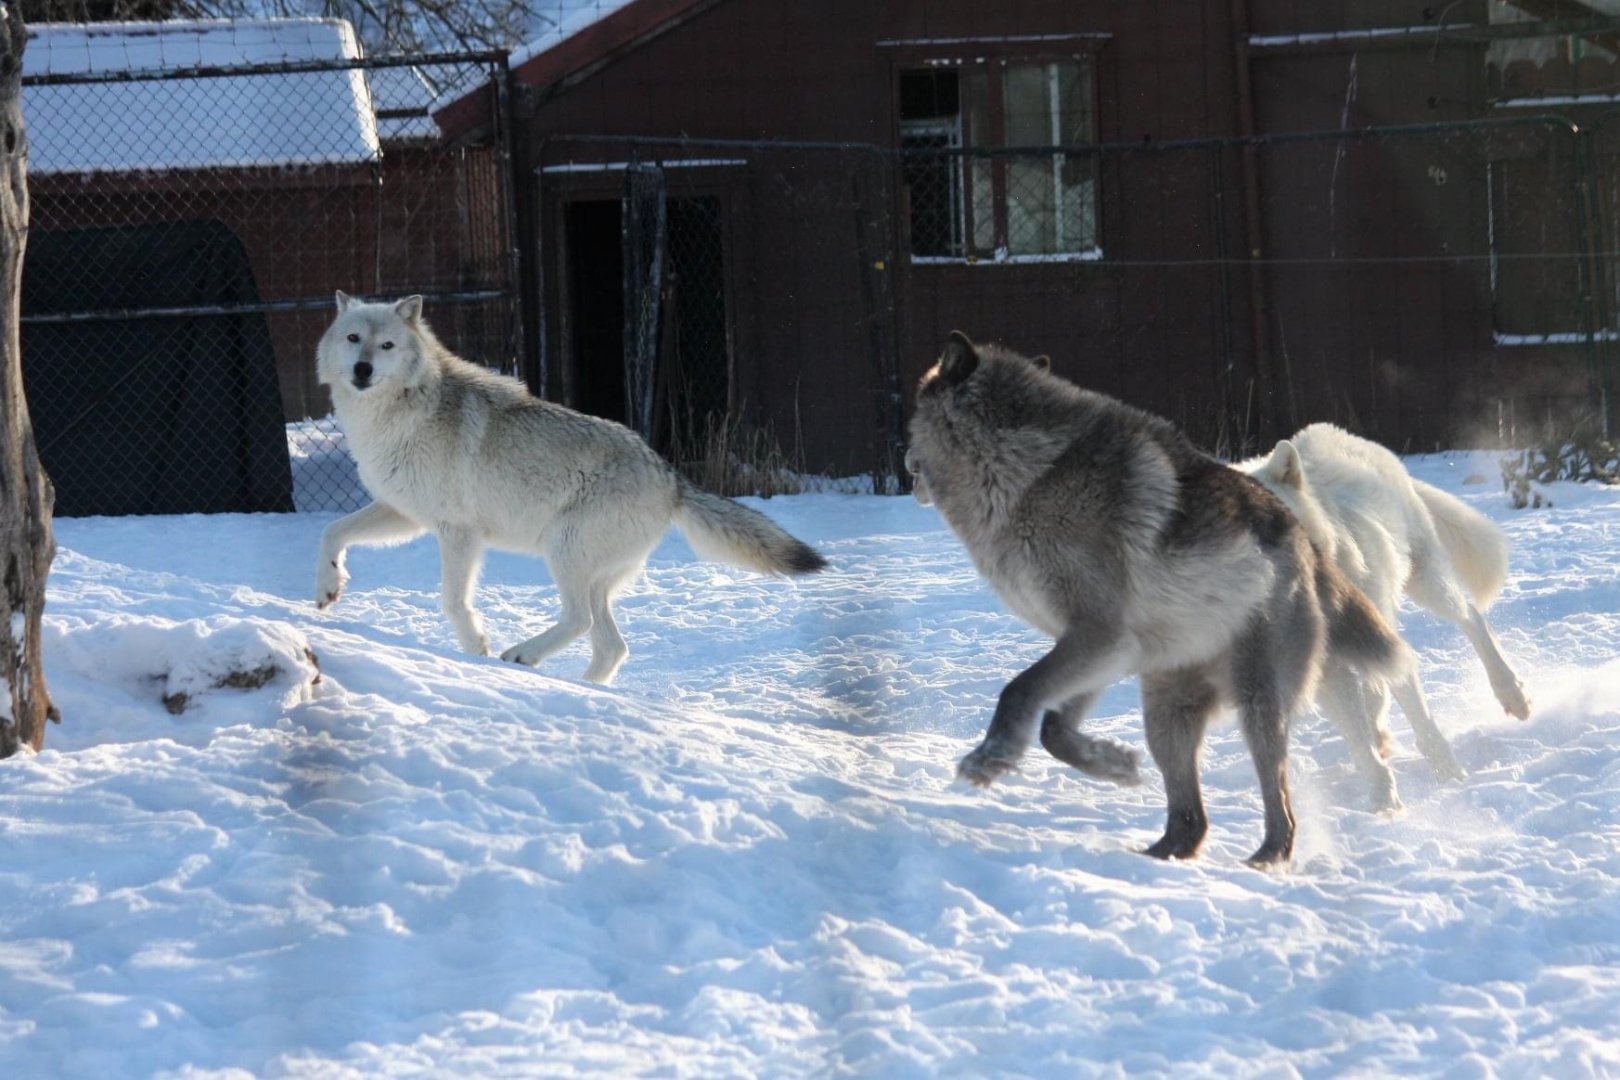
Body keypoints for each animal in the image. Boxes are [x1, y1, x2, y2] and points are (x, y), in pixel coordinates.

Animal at [313, 293, 826, 684]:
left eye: (387, 345)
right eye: (354, 339)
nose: (362, 370)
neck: (399, 411)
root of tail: (671, 477)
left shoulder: (457, 531)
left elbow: (453, 600)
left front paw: (475, 647)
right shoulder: (403, 513)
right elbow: (332, 533)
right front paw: (328, 589)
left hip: (562, 549)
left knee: (581, 621)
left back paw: (524, 655)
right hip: (590, 574)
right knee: (612, 646)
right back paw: (587, 690)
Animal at [906, 332, 1410, 866]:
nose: (906, 467)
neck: (1027, 471)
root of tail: (1310, 549)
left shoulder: (1098, 634)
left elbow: (1017, 693)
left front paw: (990, 758)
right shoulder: (1104, 646)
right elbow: (1054, 731)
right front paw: (1115, 765)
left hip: (1257, 708)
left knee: (1280, 804)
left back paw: (1266, 857)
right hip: (1165, 715)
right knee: (1191, 821)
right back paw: (1155, 856)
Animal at [1239, 423, 1530, 810]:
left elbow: (1422, 722)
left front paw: (1450, 776)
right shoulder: (1327, 670)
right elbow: (1359, 741)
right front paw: (1383, 803)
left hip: (1428, 584)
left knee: (1471, 617)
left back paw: (1512, 693)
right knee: (1374, 693)